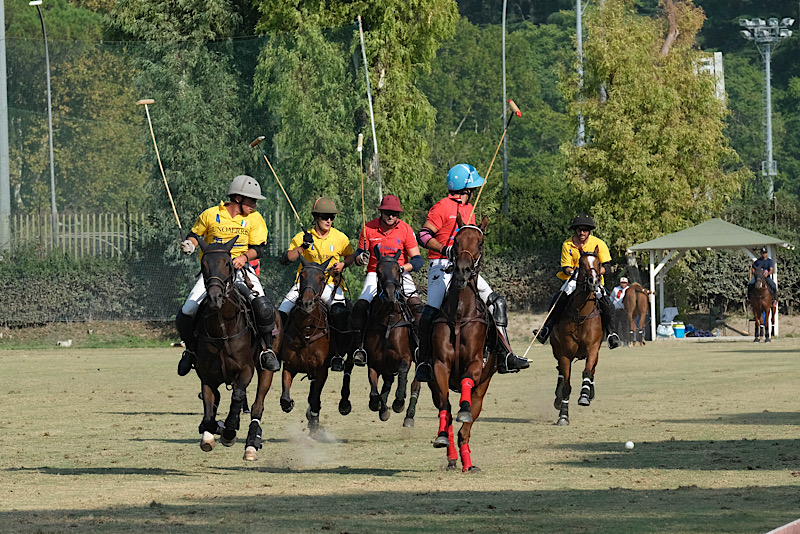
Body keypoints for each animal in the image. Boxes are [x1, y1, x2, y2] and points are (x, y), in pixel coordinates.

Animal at [194, 239, 282, 460]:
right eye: (204, 264)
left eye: (227, 263)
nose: (215, 297)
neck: (222, 329)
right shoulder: (207, 376)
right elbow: (209, 410)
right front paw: (213, 429)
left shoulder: (245, 370)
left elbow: (238, 396)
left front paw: (229, 432)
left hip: (266, 368)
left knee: (257, 405)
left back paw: (251, 443)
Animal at [278, 258, 354, 438]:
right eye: (302, 275)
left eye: (321, 278)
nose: (307, 303)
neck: (306, 330)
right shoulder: (289, 366)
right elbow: (285, 397)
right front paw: (291, 404)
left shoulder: (321, 370)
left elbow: (314, 398)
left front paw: (314, 423)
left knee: (348, 369)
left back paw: (344, 404)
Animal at [364, 246, 422, 428]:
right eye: (378, 270)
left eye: (398, 269)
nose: (390, 294)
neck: (388, 319)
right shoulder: (375, 361)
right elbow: (374, 386)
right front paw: (379, 406)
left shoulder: (406, 357)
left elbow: (403, 373)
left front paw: (398, 402)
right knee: (387, 382)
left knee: (415, 384)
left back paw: (409, 415)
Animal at [428, 214, 496, 474]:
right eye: (455, 241)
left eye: (480, 242)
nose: (462, 272)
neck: (459, 313)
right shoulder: (439, 366)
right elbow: (445, 406)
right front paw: (441, 437)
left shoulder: (476, 365)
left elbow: (466, 387)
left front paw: (464, 411)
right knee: (446, 413)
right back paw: (451, 456)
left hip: (483, 387)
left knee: (465, 430)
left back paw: (468, 462)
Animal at [552, 248, 608, 428]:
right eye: (582, 264)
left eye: (598, 263)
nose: (593, 282)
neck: (581, 313)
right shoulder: (565, 353)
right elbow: (566, 386)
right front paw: (563, 416)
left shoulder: (593, 348)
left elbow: (587, 371)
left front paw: (584, 396)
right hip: (556, 349)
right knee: (560, 371)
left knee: (592, 369)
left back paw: (589, 393)